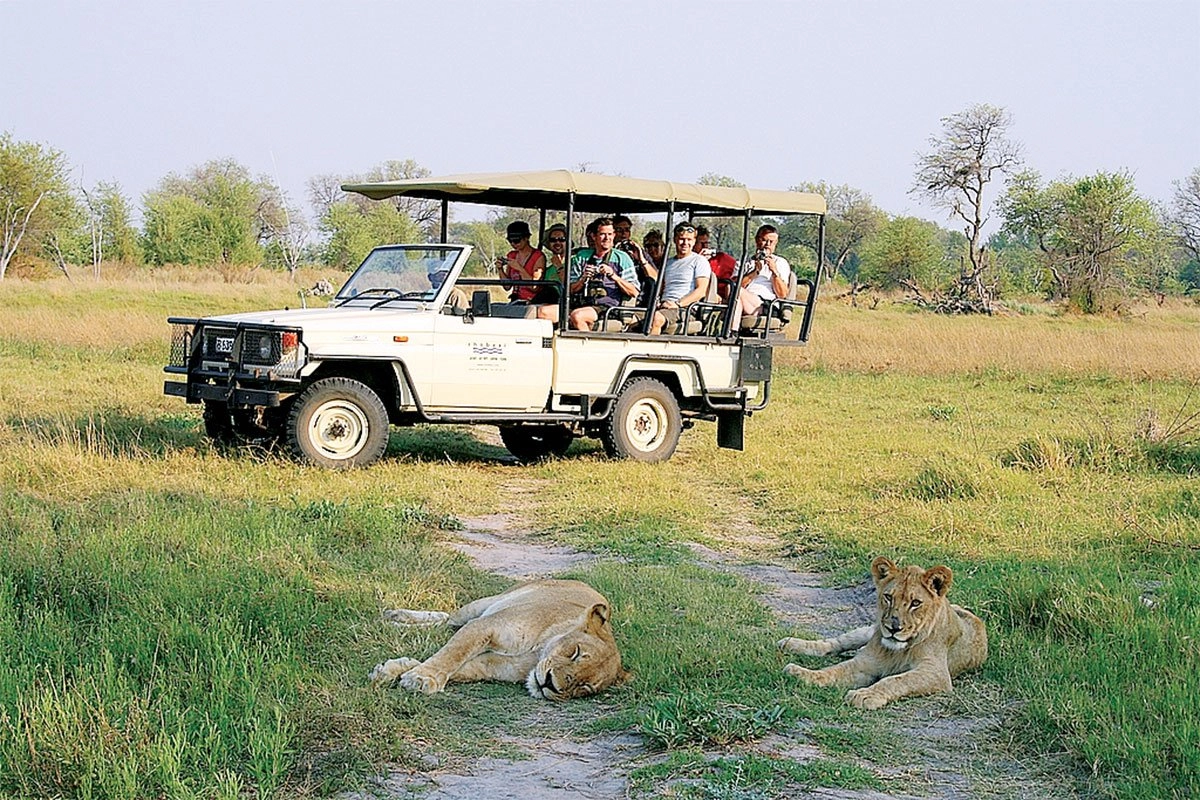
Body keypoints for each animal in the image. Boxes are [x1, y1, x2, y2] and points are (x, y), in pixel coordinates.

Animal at [369, 579, 630, 700]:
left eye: (584, 687)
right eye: (575, 653)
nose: (551, 684)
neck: (536, 654)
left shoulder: (489, 665)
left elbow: (457, 668)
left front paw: (395, 670)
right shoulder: (486, 626)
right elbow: (453, 654)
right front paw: (421, 678)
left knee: (447, 625)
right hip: (481, 606)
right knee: (448, 619)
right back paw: (393, 618)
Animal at [778, 557, 987, 709]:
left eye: (915, 603)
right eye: (888, 597)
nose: (893, 628)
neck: (898, 650)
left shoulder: (936, 673)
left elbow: (896, 680)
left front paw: (865, 694)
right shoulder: (867, 661)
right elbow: (834, 670)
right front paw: (803, 674)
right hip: (869, 630)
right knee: (835, 643)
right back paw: (790, 644)